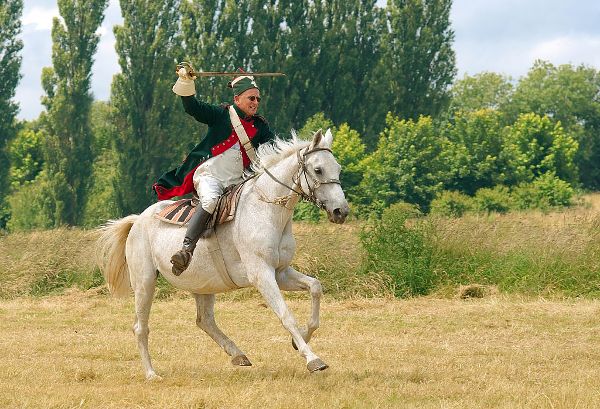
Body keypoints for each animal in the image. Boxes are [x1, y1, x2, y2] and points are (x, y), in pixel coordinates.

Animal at [97, 129, 352, 378]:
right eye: (318, 169)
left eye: (338, 168)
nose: (341, 211)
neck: (266, 208)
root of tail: (138, 220)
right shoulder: (262, 274)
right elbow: (285, 315)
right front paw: (312, 359)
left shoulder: (281, 272)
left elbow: (315, 287)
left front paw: (300, 340)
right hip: (145, 282)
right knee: (141, 327)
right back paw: (151, 373)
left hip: (203, 284)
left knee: (205, 321)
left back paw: (238, 355)